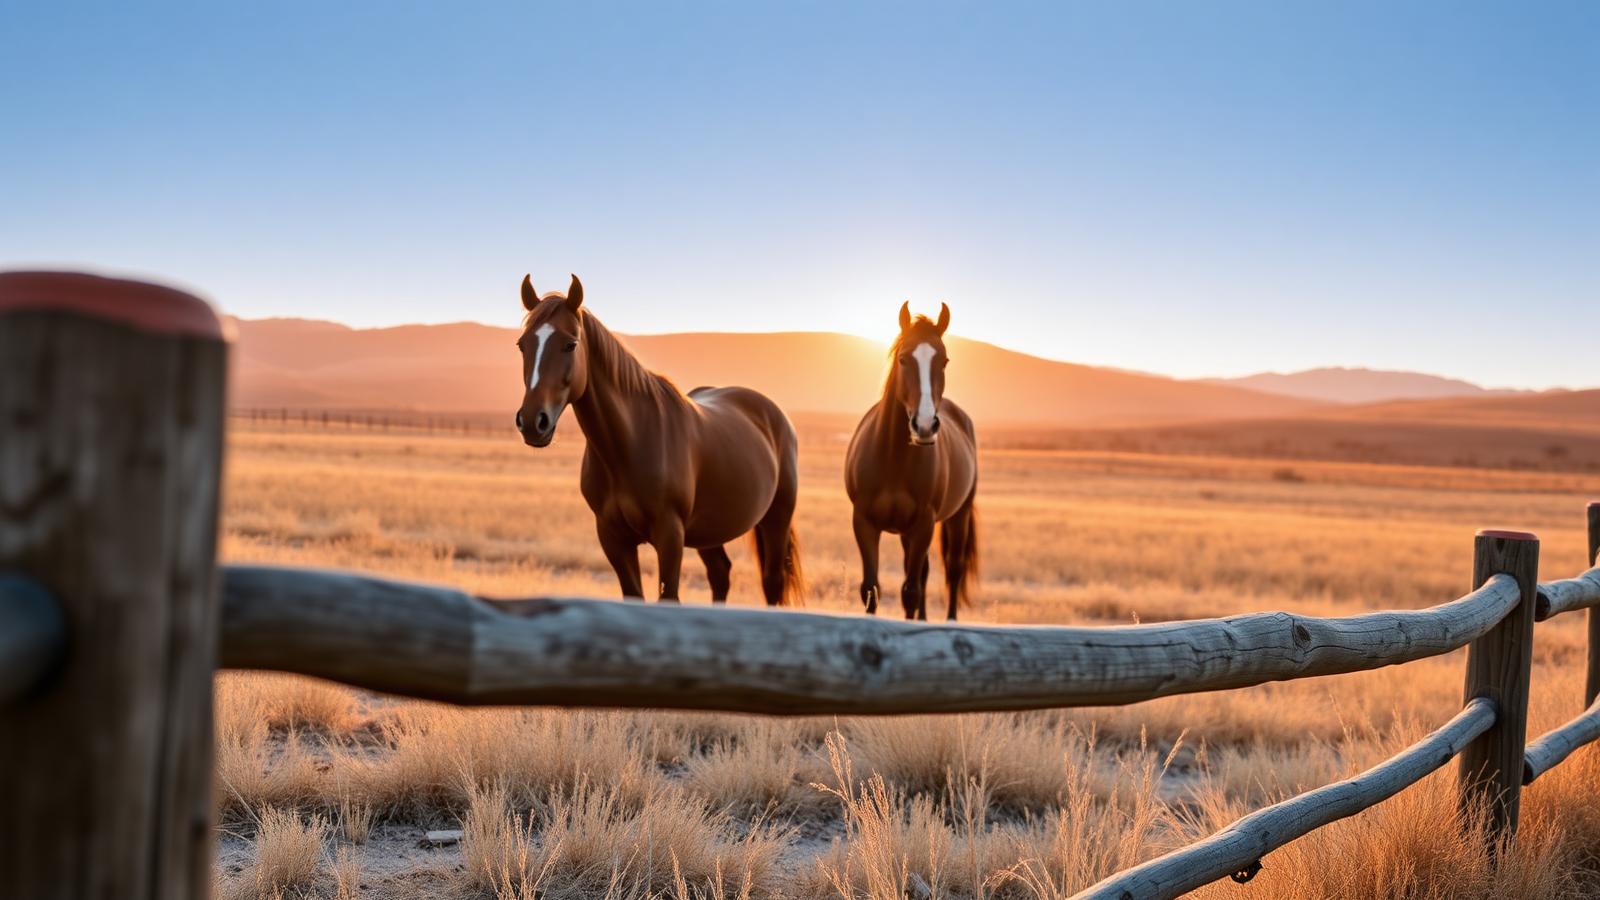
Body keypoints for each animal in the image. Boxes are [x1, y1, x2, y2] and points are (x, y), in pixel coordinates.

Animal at [513, 273, 804, 606]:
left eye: (570, 344)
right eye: (522, 345)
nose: (533, 422)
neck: (630, 443)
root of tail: (774, 413)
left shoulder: (670, 535)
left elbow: (669, 598)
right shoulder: (613, 538)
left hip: (777, 519)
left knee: (772, 583)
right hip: (709, 531)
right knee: (720, 573)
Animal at [845, 302, 978, 620]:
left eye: (944, 360)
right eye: (903, 359)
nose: (925, 425)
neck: (893, 459)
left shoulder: (923, 525)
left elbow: (911, 592)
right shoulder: (864, 522)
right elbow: (871, 590)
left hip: (959, 515)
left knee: (953, 569)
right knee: (925, 572)